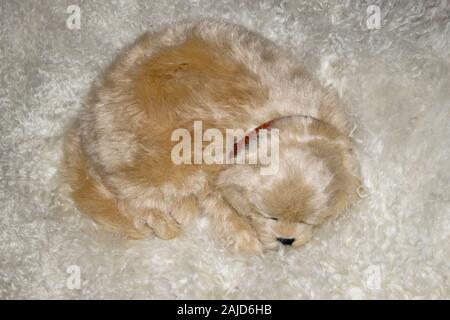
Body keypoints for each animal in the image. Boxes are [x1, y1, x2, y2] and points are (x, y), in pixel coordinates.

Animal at [61, 20, 360, 255]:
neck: (280, 118)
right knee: (136, 200)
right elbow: (222, 207)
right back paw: (167, 222)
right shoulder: (211, 170)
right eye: (269, 216)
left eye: (310, 221)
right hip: (154, 163)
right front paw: (247, 238)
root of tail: (87, 118)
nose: (286, 240)